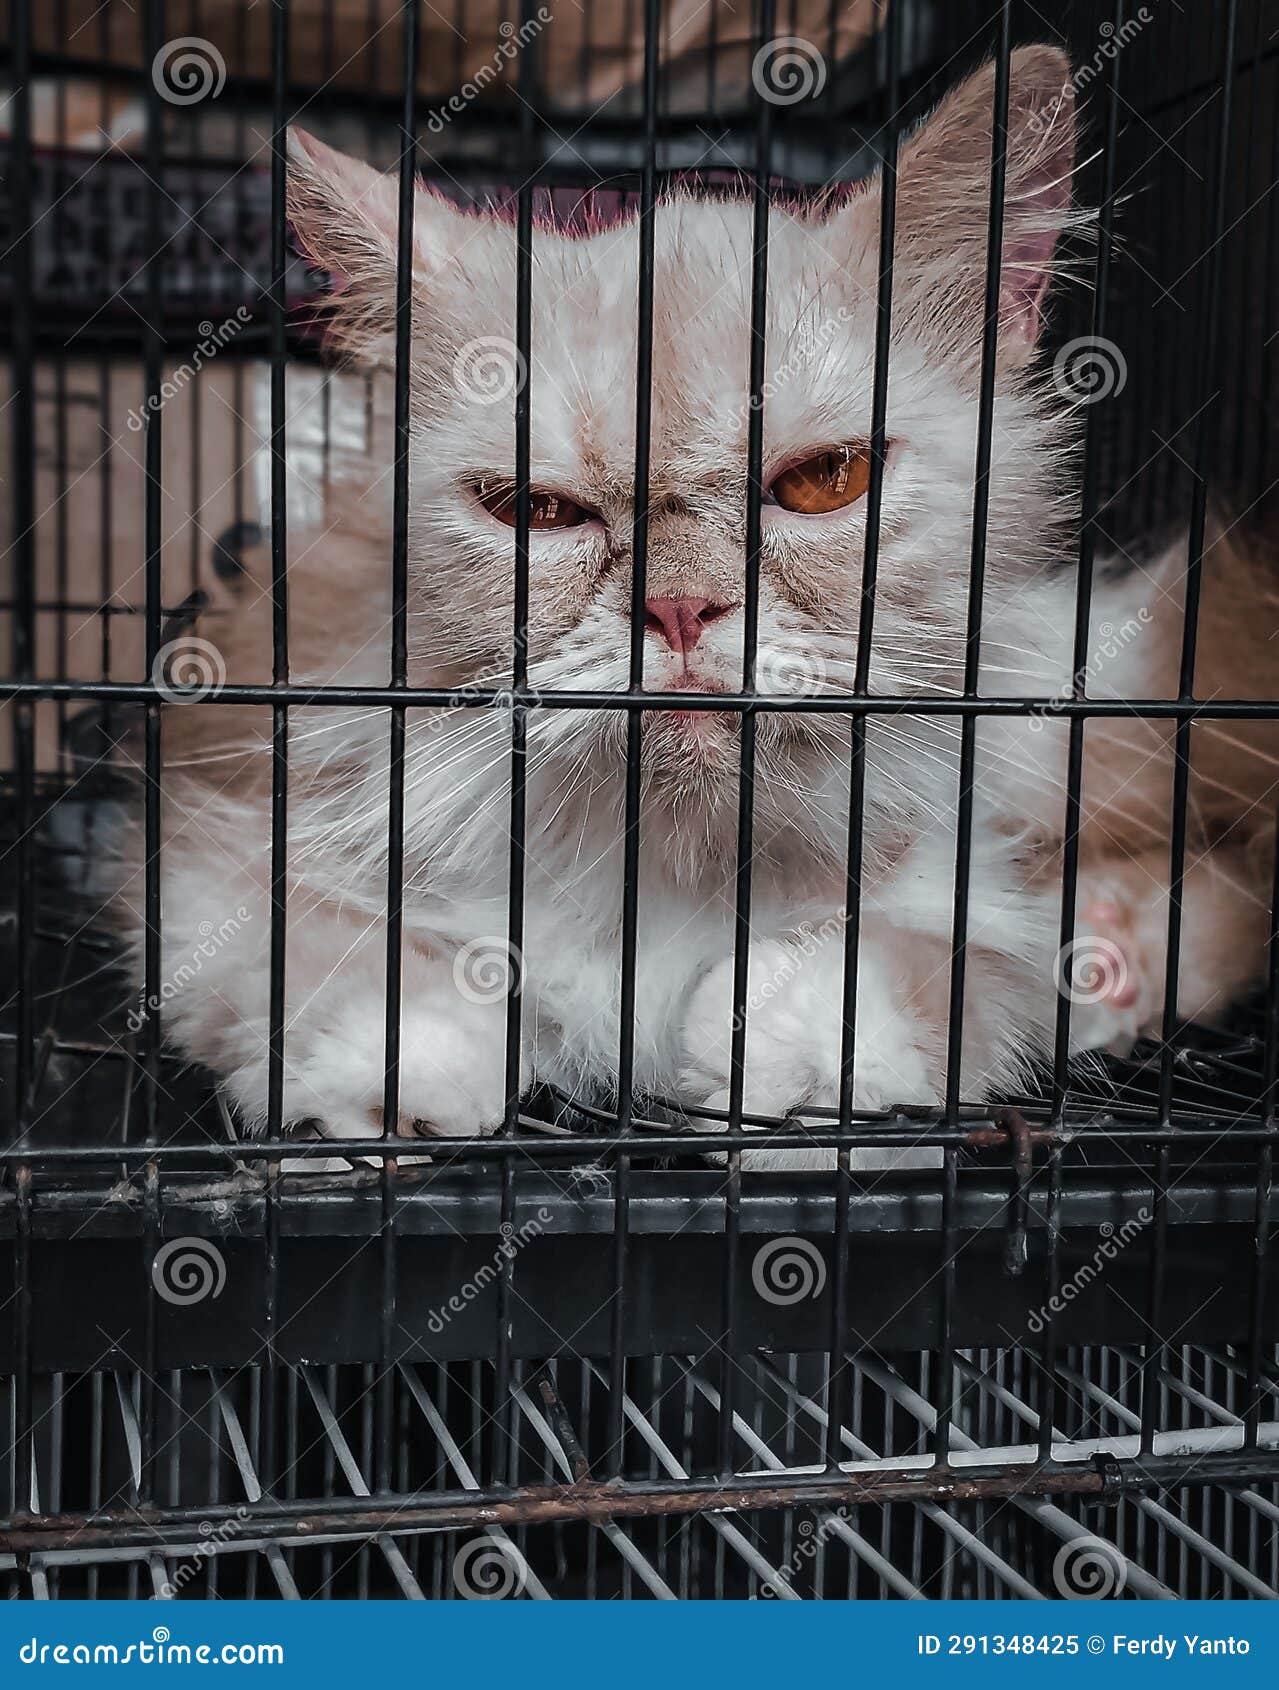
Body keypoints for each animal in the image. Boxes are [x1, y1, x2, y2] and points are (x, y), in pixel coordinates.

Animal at [104, 49, 1270, 1162]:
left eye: (826, 480)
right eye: (537, 510)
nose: (678, 609)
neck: (670, 856)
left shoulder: (973, 893)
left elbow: (935, 969)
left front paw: (781, 1045)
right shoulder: (207, 838)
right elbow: (337, 968)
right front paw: (401, 1085)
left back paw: (1112, 955)